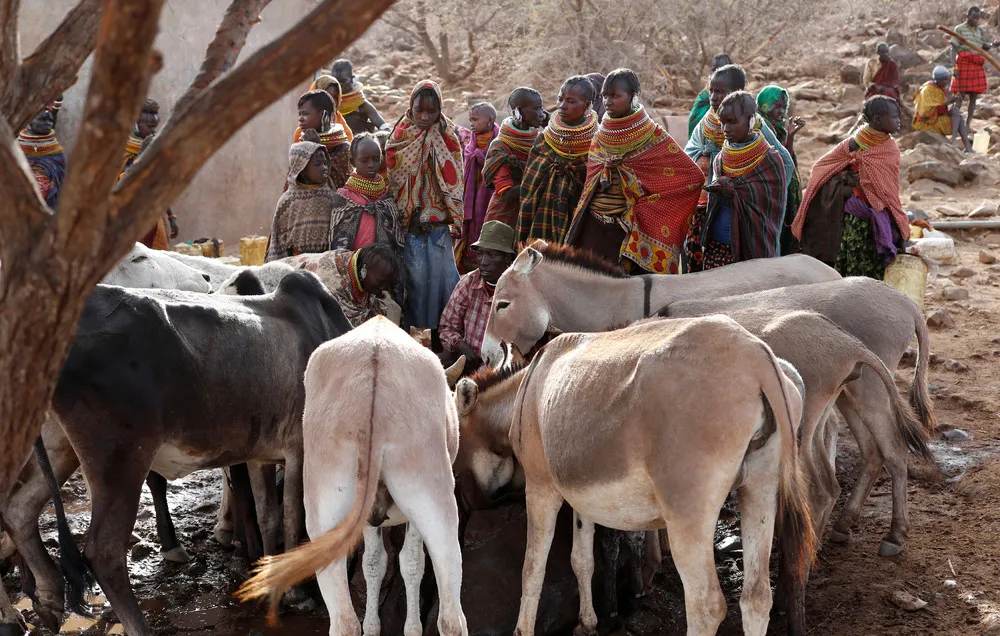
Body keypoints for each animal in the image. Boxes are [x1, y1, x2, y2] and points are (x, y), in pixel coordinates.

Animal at [2, 271, 352, 636]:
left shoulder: (262, 455)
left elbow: (269, 516)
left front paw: (270, 580)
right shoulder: (300, 447)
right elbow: (294, 517)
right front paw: (297, 592)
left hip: (60, 447)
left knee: (18, 510)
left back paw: (48, 603)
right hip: (121, 458)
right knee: (103, 551)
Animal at [238, 317, 469, 636]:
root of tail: (375, 365)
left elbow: (374, 563)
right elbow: (405, 563)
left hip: (326, 500)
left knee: (344, 620)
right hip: (429, 487)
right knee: (451, 618)